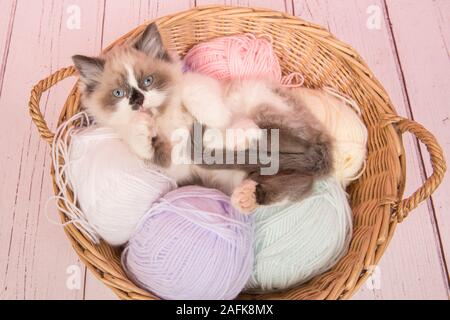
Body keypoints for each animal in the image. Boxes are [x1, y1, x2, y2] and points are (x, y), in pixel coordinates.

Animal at [72, 22, 332, 212]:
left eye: (148, 81)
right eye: (119, 93)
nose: (137, 100)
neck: (165, 115)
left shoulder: (200, 86)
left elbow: (195, 96)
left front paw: (212, 126)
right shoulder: (173, 165)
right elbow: (141, 142)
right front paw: (141, 128)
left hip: (255, 97)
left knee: (282, 147)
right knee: (299, 180)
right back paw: (247, 195)